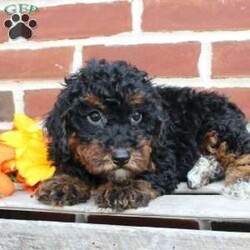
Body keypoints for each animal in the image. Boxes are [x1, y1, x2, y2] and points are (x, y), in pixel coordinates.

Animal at [36, 58, 250, 209]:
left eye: (137, 116)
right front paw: (63, 183)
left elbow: (145, 171)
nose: (121, 158)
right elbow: (71, 166)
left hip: (218, 125)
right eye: (94, 116)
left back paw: (240, 182)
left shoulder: (162, 156)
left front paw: (123, 188)